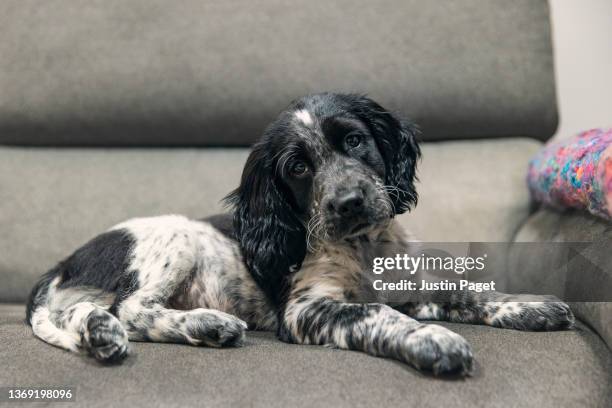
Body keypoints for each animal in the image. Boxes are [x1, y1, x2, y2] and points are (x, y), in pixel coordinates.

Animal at [27, 93, 572, 376]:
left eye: (355, 140)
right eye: (297, 168)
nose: (348, 202)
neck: (364, 249)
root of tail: (64, 263)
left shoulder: (412, 288)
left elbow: (465, 290)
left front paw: (532, 306)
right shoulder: (307, 309)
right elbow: (377, 314)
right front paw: (435, 342)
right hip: (172, 239)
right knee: (127, 309)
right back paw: (176, 326)